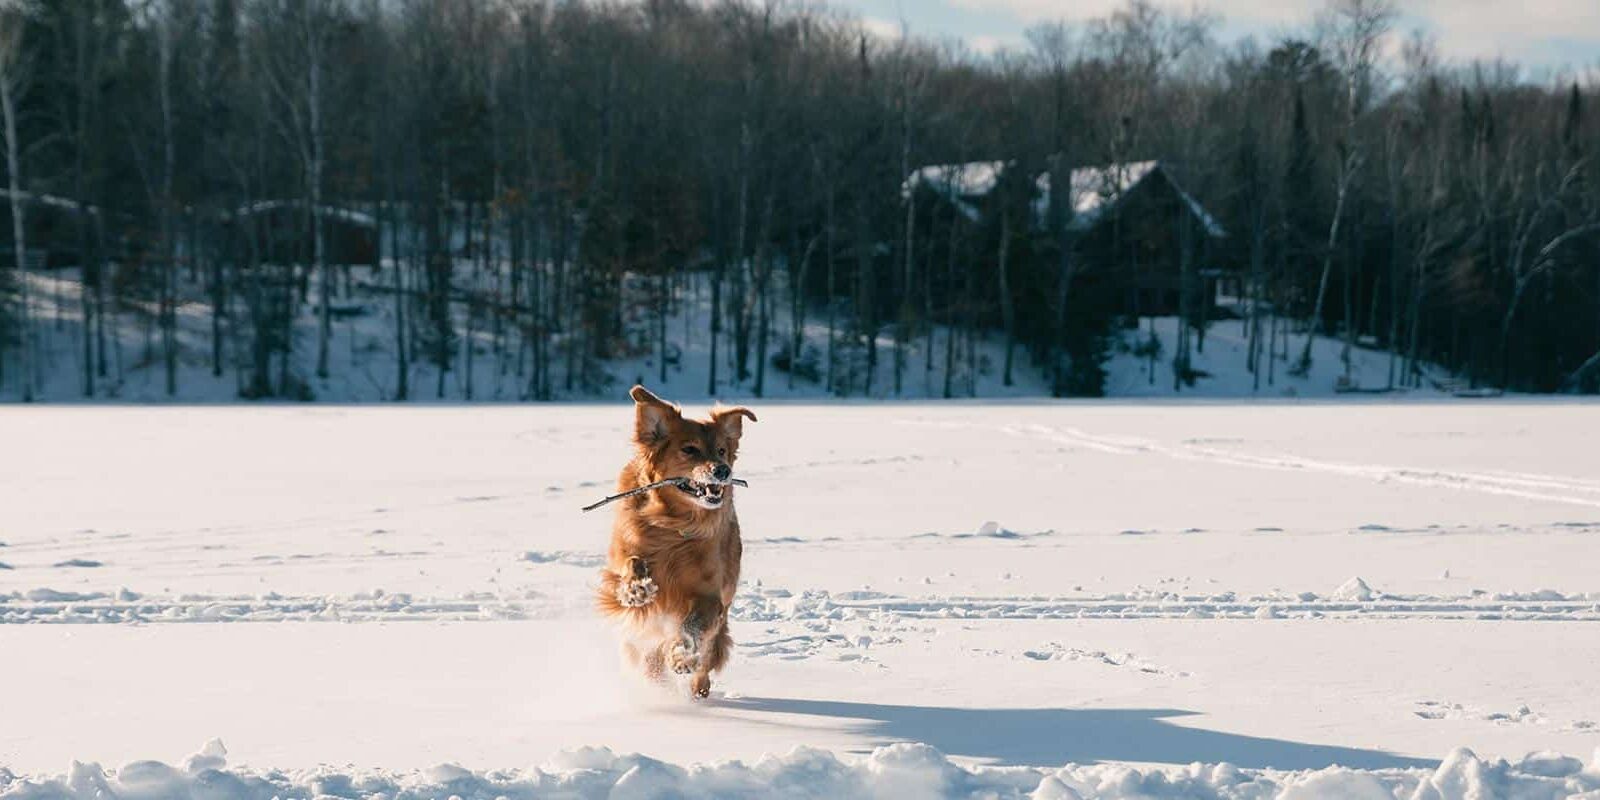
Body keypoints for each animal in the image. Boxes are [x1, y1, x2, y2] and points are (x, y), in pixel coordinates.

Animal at [598, 384, 758, 697]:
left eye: (722, 450)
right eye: (689, 449)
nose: (723, 470)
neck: (674, 527)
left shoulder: (710, 597)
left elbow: (692, 628)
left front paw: (682, 656)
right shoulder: (618, 566)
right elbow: (630, 564)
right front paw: (637, 588)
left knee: (705, 659)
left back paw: (697, 688)